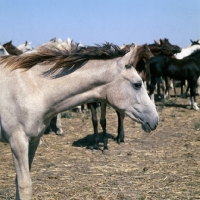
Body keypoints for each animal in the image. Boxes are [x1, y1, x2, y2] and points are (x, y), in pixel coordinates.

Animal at [0, 42, 159, 198]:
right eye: (137, 84)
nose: (155, 119)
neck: (33, 89)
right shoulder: (18, 143)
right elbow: (24, 186)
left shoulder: (33, 141)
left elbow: (18, 182)